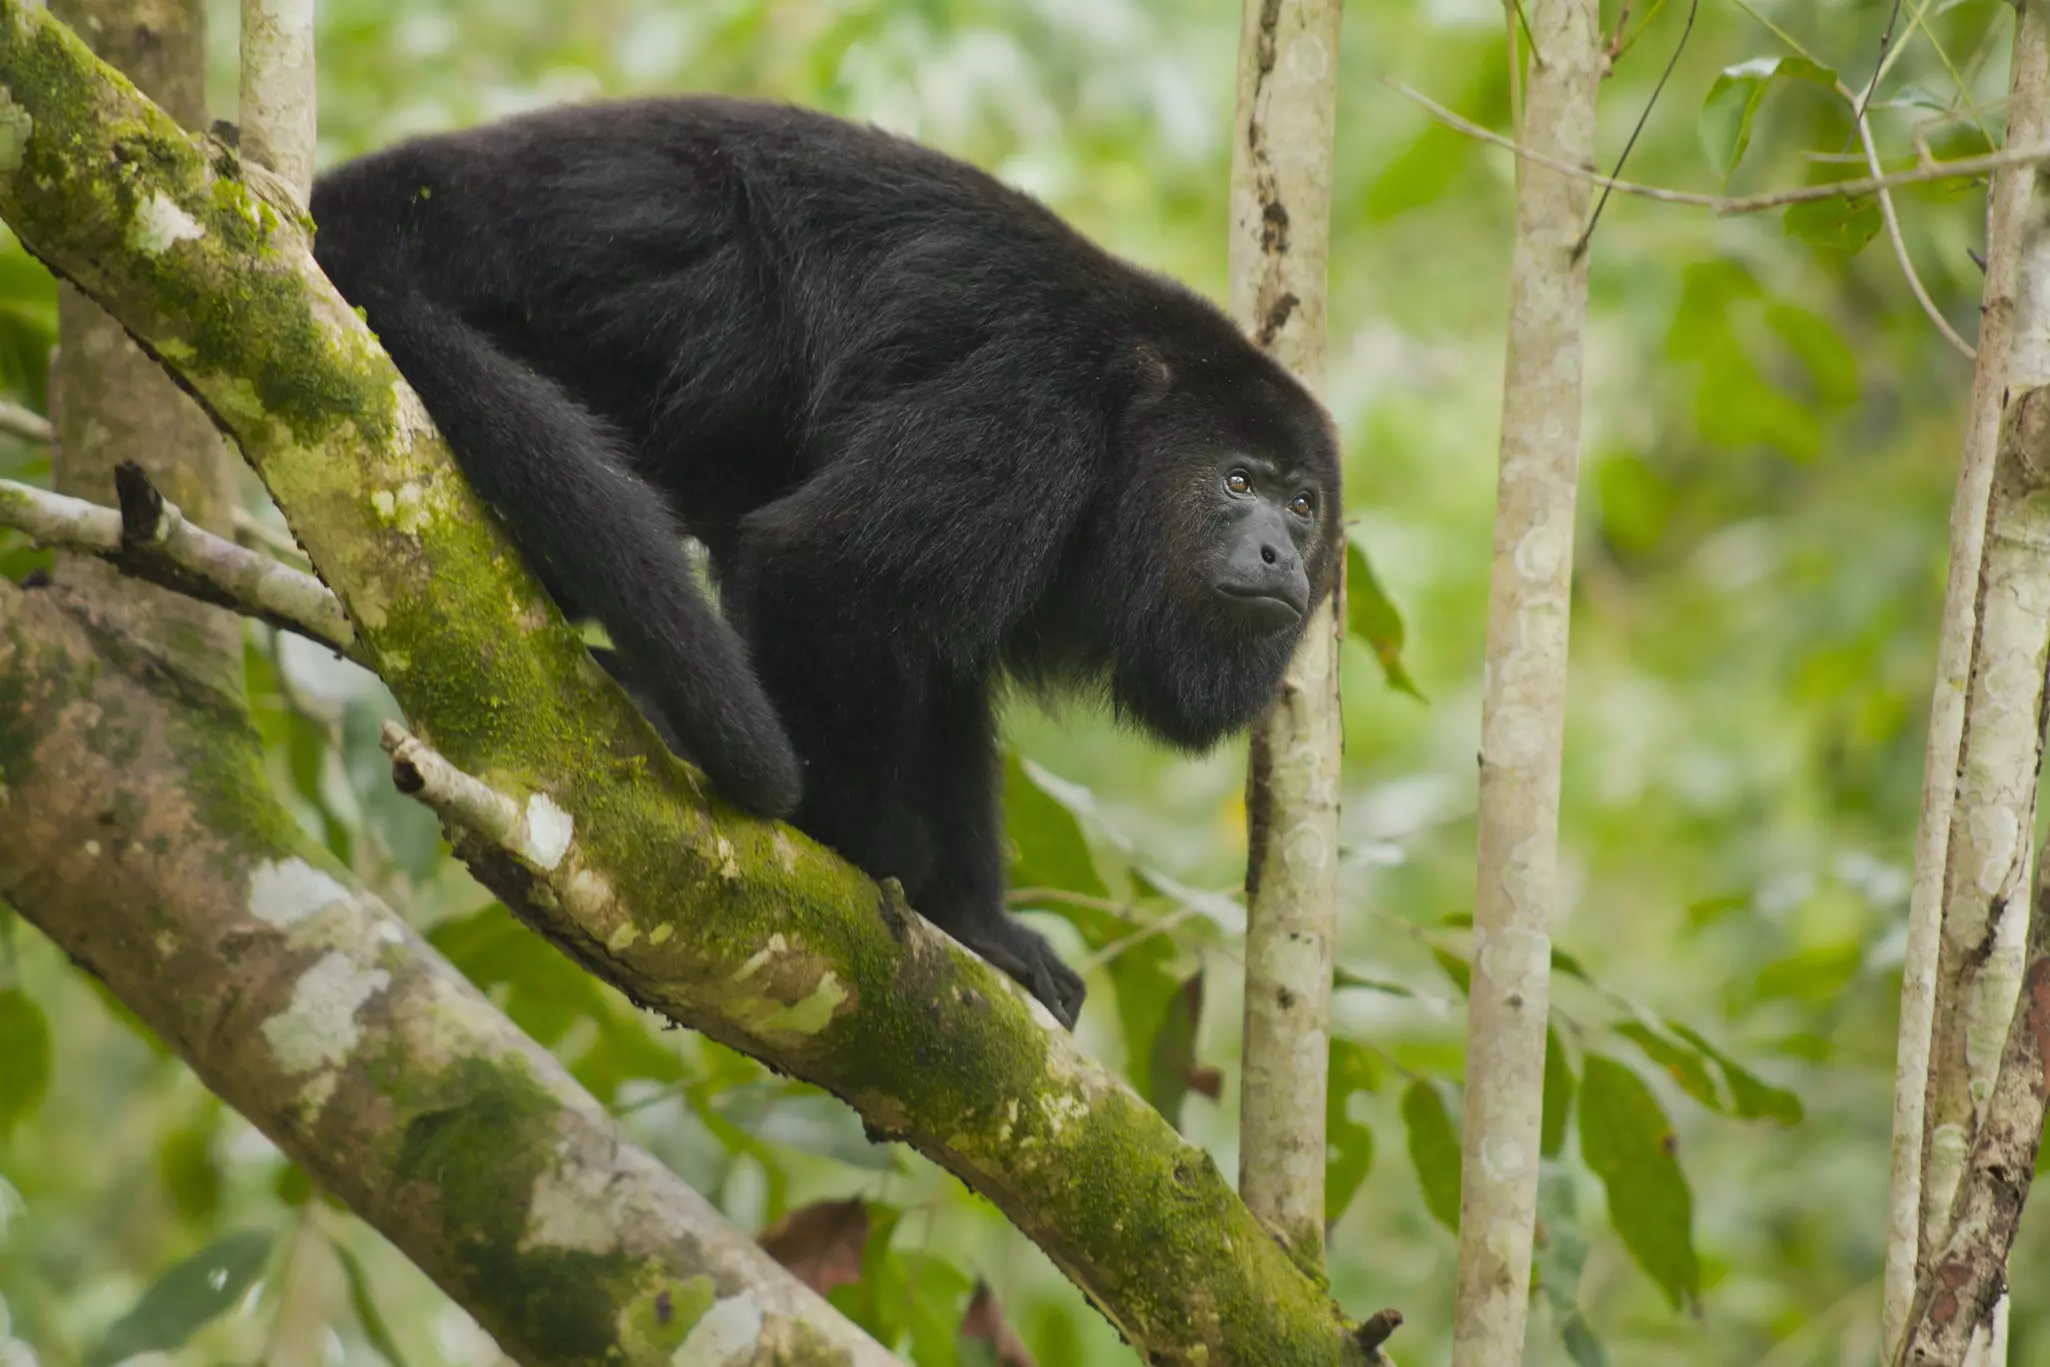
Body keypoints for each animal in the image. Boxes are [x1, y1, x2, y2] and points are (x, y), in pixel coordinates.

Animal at [310, 96, 1342, 1028]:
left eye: (1303, 506)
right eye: (1238, 480)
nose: (1278, 554)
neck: (1131, 425)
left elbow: (943, 673)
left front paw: (979, 922)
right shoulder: (1036, 413)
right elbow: (823, 565)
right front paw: (858, 840)